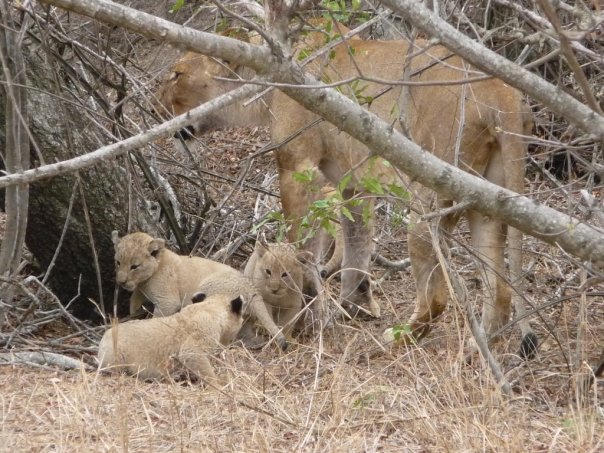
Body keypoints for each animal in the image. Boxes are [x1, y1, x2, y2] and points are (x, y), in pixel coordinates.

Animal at [112, 231, 287, 351]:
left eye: (134, 266)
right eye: (118, 262)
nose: (120, 282)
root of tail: (252, 289)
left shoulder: (168, 301)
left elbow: (158, 317)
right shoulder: (140, 290)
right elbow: (134, 301)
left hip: (208, 290)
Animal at [155, 34, 537, 356]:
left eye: (177, 74)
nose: (158, 105)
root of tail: (501, 93)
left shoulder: (298, 167)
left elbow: (301, 243)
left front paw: (304, 307)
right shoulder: (353, 185)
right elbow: (356, 245)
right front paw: (351, 306)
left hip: (430, 198)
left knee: (436, 298)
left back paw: (399, 338)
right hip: (485, 198)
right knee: (500, 289)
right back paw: (477, 346)